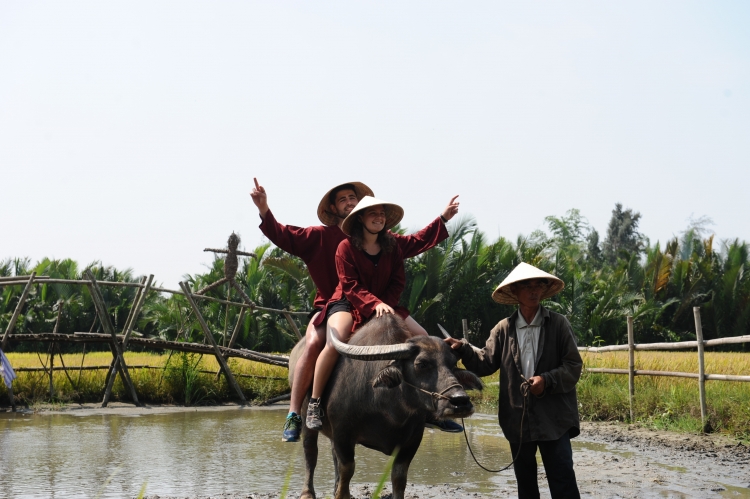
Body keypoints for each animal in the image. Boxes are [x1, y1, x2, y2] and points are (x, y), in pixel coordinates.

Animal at [288, 316, 482, 499]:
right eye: (421, 364)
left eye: (452, 364)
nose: (460, 401)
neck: (389, 409)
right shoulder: (343, 434)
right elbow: (347, 470)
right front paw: (341, 493)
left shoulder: (412, 441)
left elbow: (398, 478)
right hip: (307, 420)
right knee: (311, 452)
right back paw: (307, 492)